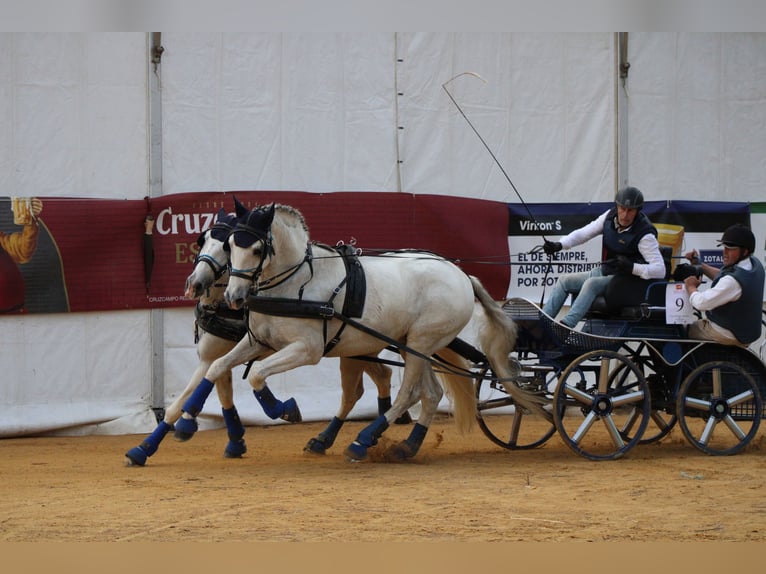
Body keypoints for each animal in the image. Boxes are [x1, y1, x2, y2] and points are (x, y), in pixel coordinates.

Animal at [179, 202, 544, 464]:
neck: (294, 283)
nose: (234, 296)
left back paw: (363, 440)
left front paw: (282, 408)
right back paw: (404, 447)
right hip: (414, 345)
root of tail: (461, 274)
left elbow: (257, 377)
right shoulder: (259, 341)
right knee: (430, 394)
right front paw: (185, 422)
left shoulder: (306, 349)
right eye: (229, 245)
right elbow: (217, 367)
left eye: (256, 249)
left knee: (409, 393)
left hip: (420, 342)